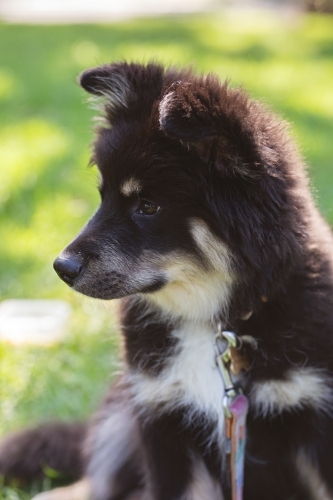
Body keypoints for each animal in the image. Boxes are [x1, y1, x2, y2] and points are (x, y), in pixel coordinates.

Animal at [0, 63, 332, 500]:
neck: (213, 321)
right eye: (103, 197)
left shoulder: (313, 421)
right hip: (122, 410)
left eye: (148, 206)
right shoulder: (161, 419)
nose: (61, 267)